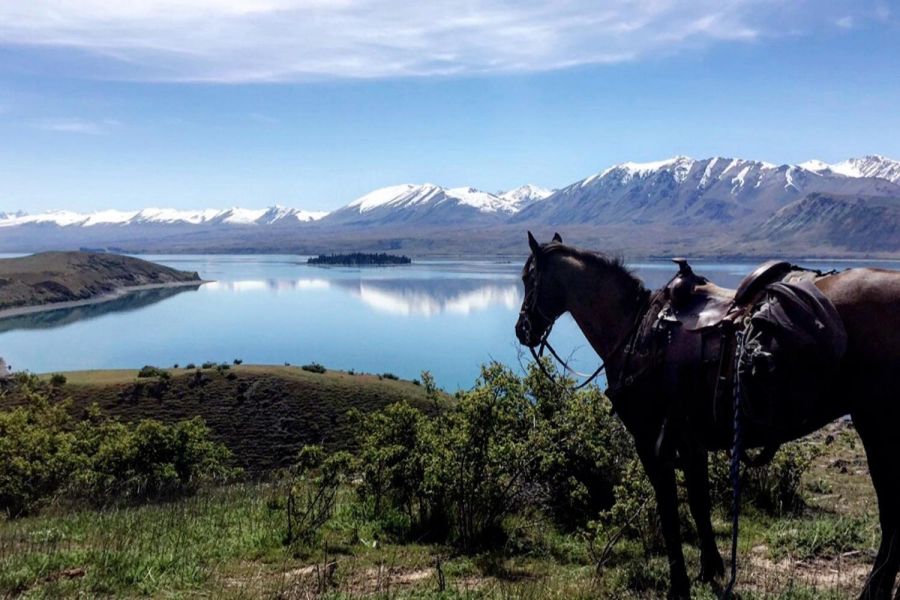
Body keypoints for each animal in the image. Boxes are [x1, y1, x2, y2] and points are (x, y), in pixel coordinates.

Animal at [515, 232, 900, 600]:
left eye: (528, 277)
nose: (522, 330)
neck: (634, 332)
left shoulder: (651, 444)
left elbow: (669, 512)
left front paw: (679, 585)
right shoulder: (690, 443)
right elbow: (699, 504)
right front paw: (710, 569)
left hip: (877, 426)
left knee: (892, 515)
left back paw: (872, 590)